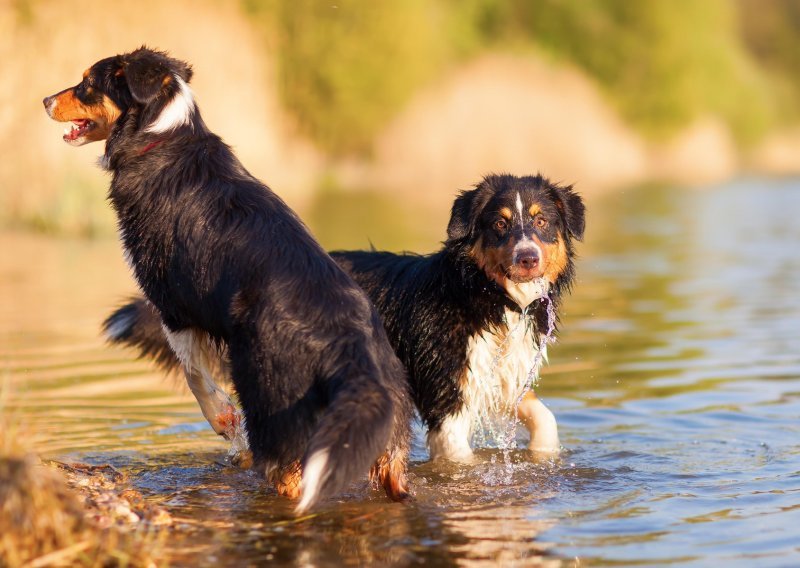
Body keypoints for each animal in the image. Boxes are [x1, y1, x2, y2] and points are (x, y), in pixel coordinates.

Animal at [42, 46, 412, 512]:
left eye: (88, 82)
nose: (44, 101)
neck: (161, 134)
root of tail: (351, 348)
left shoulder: (173, 303)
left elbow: (194, 374)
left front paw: (224, 421)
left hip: (275, 409)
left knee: (288, 480)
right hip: (388, 444)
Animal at [106, 173, 584, 462]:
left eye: (542, 222)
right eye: (499, 225)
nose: (527, 257)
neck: (488, 297)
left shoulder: (501, 374)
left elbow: (544, 417)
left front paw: (544, 455)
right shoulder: (446, 393)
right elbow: (458, 459)